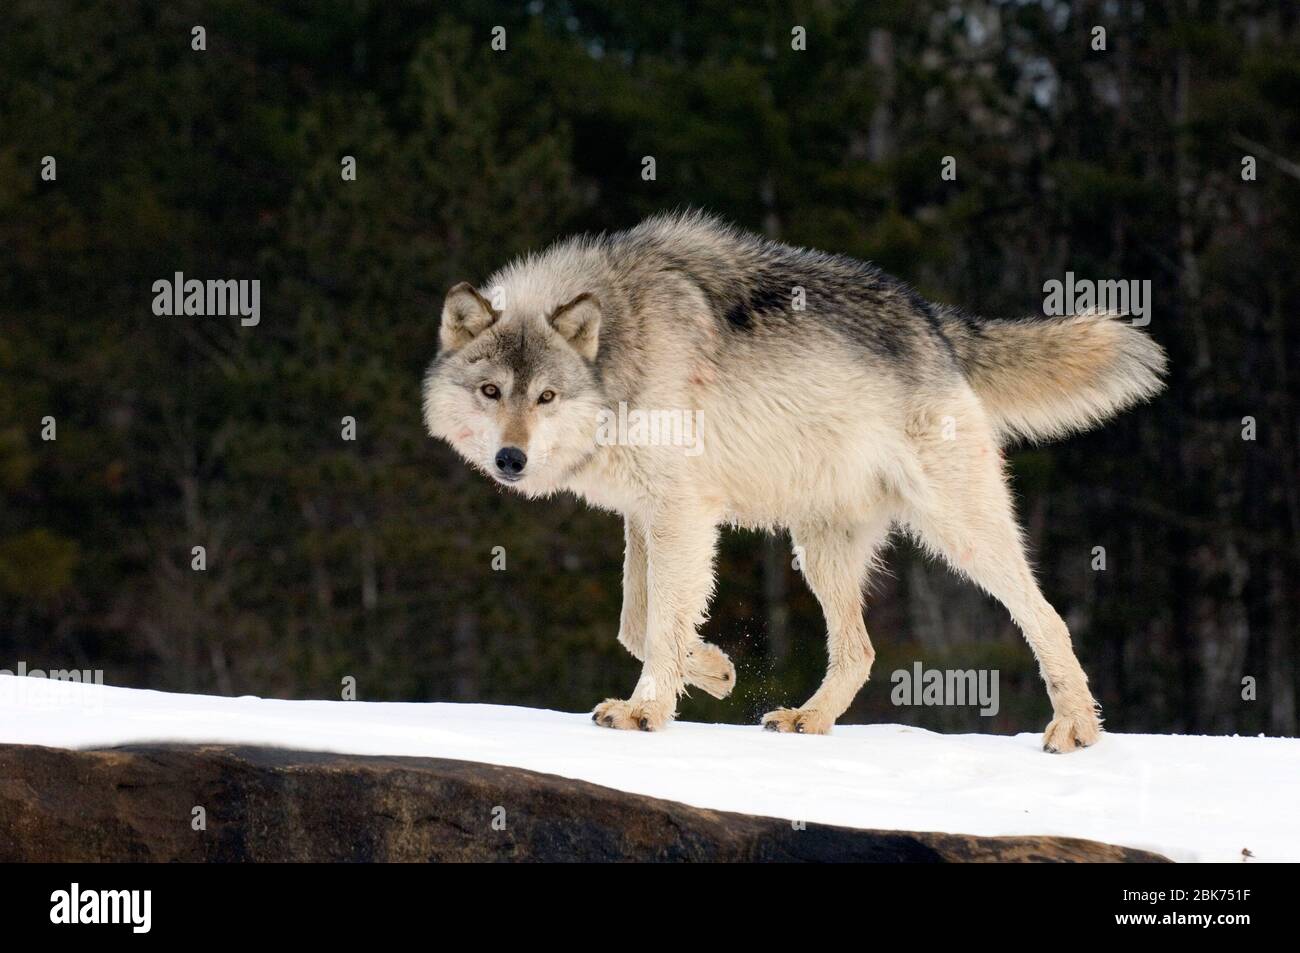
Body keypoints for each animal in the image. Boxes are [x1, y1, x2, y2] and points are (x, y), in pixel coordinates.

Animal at [422, 211, 1166, 752]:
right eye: (492, 391)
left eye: (546, 396)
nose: (510, 459)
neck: (622, 342)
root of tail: (936, 322)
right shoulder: (645, 514)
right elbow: (637, 623)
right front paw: (714, 668)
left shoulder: (682, 513)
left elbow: (657, 624)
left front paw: (647, 709)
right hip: (820, 550)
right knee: (861, 649)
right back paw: (810, 719)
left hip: (959, 534)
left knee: (1047, 616)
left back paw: (1076, 727)